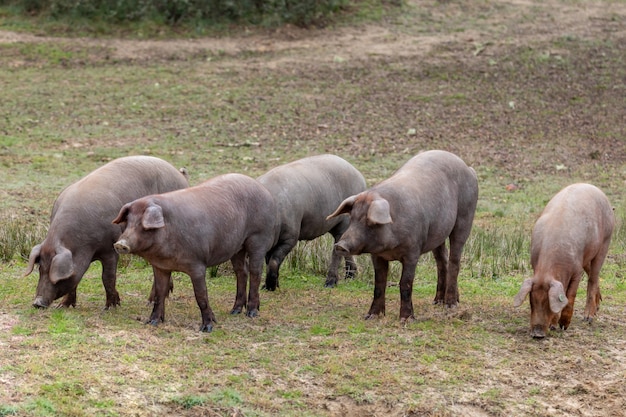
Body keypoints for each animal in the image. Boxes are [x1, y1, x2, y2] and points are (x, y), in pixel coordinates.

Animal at [23, 154, 188, 308]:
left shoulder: (111, 248)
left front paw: (111, 306)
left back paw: (149, 302)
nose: (37, 303)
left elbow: (107, 277)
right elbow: (75, 280)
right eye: (40, 269)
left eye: (55, 274)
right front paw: (63, 306)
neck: (85, 247)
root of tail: (180, 175)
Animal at [111, 172, 278, 332]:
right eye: (128, 222)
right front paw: (152, 322)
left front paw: (207, 328)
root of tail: (265, 191)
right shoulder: (160, 267)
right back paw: (234, 311)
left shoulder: (198, 265)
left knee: (255, 271)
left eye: (142, 224)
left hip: (259, 237)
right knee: (241, 271)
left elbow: (201, 296)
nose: (120, 244)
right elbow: (160, 293)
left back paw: (251, 313)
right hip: (237, 246)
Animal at [258, 154, 368, 290]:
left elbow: (274, 260)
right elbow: (269, 260)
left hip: (343, 222)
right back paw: (350, 276)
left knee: (336, 251)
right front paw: (268, 286)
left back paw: (330, 283)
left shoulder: (290, 238)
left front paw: (271, 286)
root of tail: (359, 174)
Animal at [324, 151, 476, 320]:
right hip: (438, 233)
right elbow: (379, 283)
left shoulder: (413, 251)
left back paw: (450, 305)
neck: (391, 247)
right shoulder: (377, 255)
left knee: (455, 259)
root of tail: (467, 167)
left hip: (465, 216)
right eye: (352, 218)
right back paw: (438, 302)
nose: (340, 245)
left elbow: (405, 282)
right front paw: (371, 316)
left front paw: (406, 319)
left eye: (369, 221)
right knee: (442, 261)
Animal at [512, 183, 616, 338]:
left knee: (593, 278)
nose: (537, 334)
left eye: (548, 303)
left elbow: (570, 296)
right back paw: (597, 308)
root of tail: (594, 187)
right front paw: (553, 326)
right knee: (593, 276)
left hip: (605, 242)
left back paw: (588, 318)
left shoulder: (577, 271)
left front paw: (563, 326)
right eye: (531, 301)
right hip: (587, 257)